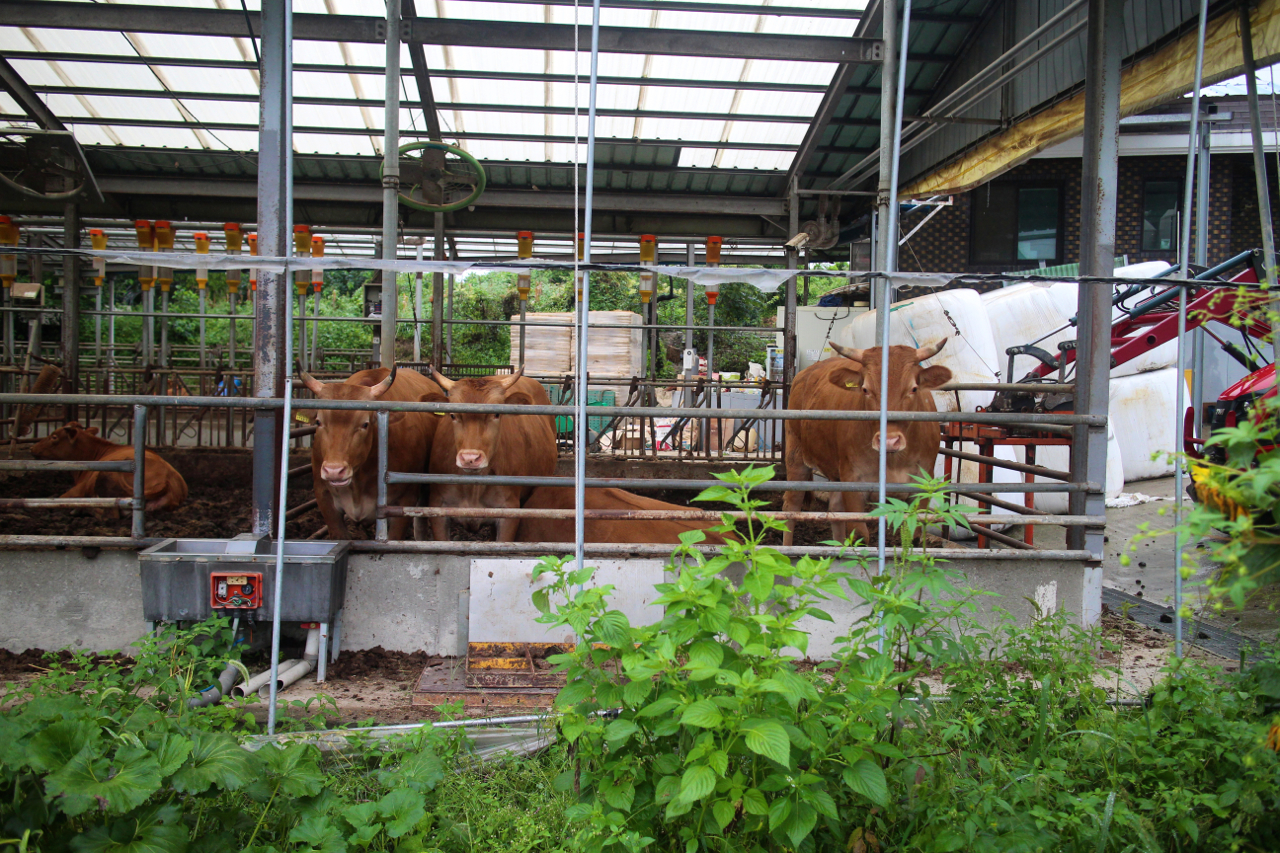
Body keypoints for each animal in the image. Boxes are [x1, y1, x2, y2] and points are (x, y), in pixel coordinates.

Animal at [778, 338, 952, 545]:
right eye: (865, 389)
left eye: (914, 389)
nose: (889, 441)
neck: (893, 461)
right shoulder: (854, 484)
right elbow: (860, 534)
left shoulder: (922, 488)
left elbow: (914, 537)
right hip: (796, 455)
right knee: (791, 506)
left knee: (835, 509)